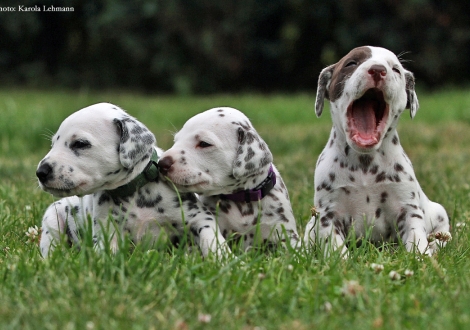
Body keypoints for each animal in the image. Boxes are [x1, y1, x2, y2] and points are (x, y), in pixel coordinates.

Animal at [35, 103, 229, 258]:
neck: (135, 192)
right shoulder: (106, 232)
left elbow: (211, 238)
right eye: (53, 144)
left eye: (80, 143)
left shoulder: (199, 217)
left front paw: (225, 259)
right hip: (52, 219)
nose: (40, 172)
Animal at [304, 45, 452, 258]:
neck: (365, 164)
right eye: (351, 63)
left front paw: (421, 259)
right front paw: (342, 262)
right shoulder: (328, 214)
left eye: (395, 69)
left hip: (439, 214)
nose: (377, 70)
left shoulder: (408, 208)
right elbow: (335, 247)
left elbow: (416, 239)